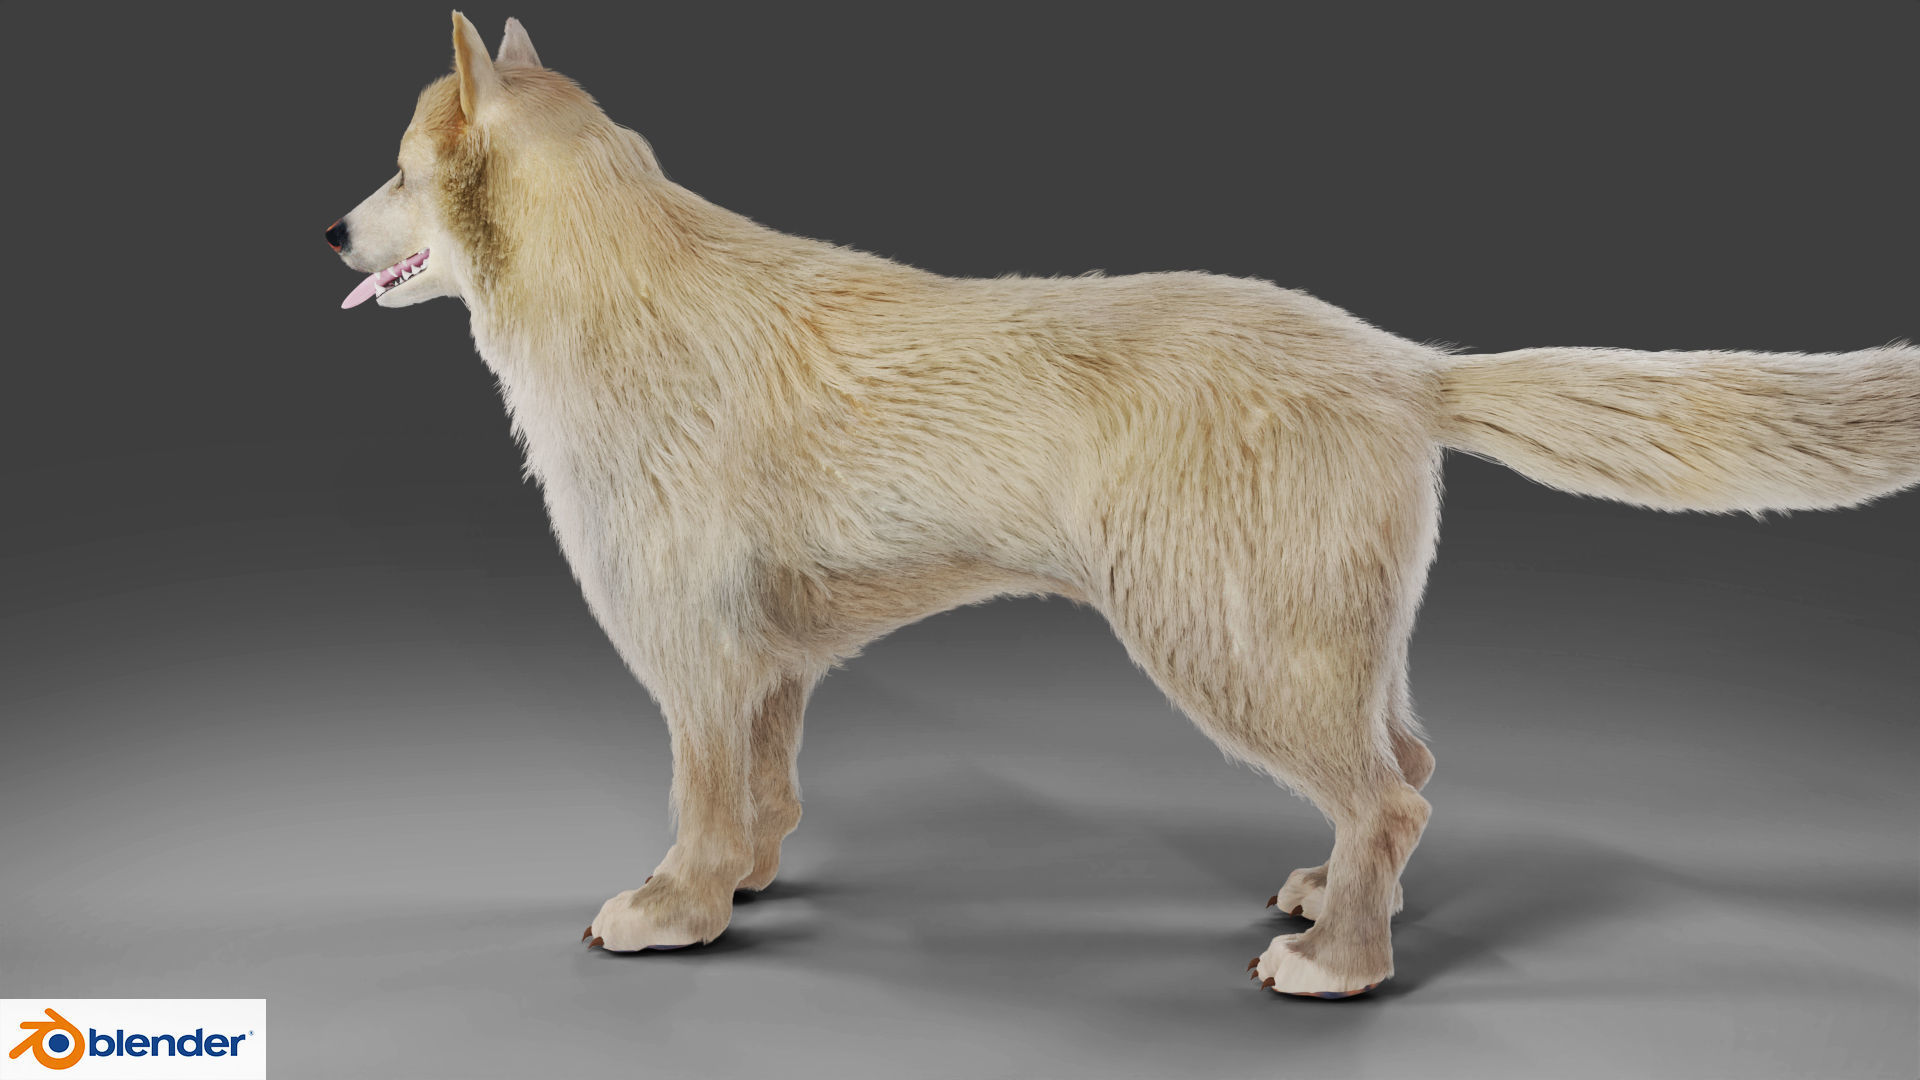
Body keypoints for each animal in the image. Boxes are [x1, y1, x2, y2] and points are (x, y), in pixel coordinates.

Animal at [325, 13, 1919, 998]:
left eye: (397, 172)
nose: (330, 228)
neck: (624, 287)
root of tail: (1404, 365)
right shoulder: (771, 662)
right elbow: (767, 792)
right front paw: (750, 884)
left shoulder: (699, 662)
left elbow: (701, 800)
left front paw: (672, 911)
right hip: (1330, 643)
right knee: (1403, 768)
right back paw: (1331, 898)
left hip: (1232, 644)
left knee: (1390, 792)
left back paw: (1339, 965)